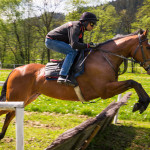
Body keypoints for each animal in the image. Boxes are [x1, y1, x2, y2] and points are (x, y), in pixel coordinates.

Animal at [0, 28, 150, 139]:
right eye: (148, 47)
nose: (149, 68)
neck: (104, 58)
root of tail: (16, 69)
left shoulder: (108, 88)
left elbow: (135, 83)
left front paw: (142, 103)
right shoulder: (105, 90)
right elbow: (133, 82)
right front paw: (141, 103)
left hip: (27, 98)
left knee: (9, 114)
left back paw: (2, 135)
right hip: (16, 98)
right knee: (7, 113)